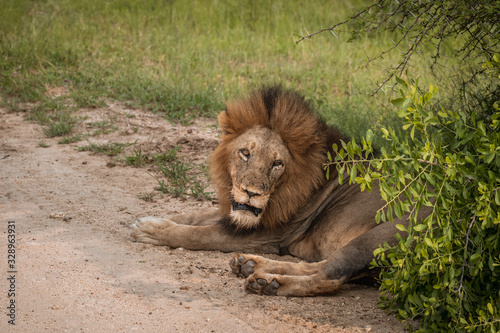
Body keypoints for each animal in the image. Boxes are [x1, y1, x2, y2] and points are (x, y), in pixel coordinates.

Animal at [131, 85, 408, 296]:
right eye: (245, 153)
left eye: (277, 163)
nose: (251, 192)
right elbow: (192, 216)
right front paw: (150, 219)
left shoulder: (267, 235)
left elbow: (198, 234)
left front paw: (149, 230)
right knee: (318, 265)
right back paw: (252, 265)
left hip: (380, 238)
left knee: (330, 276)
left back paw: (269, 283)